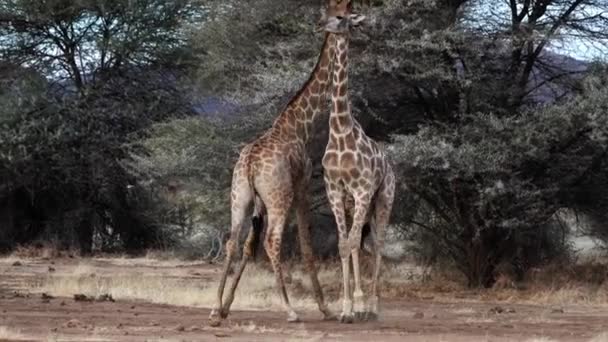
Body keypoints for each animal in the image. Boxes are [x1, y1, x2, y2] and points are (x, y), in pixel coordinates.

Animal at [208, 0, 354, 328]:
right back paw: (290, 310)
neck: (300, 123)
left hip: (239, 196)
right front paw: (325, 309)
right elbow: (306, 246)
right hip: (279, 196)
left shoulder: (259, 203)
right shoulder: (301, 187)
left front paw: (225, 306)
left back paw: (213, 308)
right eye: (340, 16)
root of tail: (249, 163)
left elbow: (247, 246)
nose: (350, 26)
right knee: (273, 241)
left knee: (232, 241)